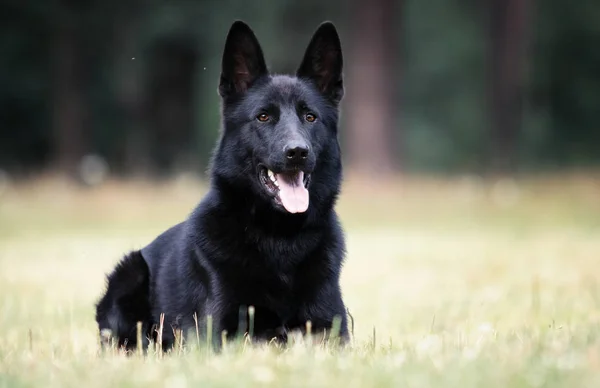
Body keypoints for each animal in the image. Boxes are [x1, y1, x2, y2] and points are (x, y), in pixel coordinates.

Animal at [96, 19, 350, 350]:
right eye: (263, 116)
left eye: (310, 117)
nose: (297, 152)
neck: (280, 239)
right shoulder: (222, 332)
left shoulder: (332, 331)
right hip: (131, 274)